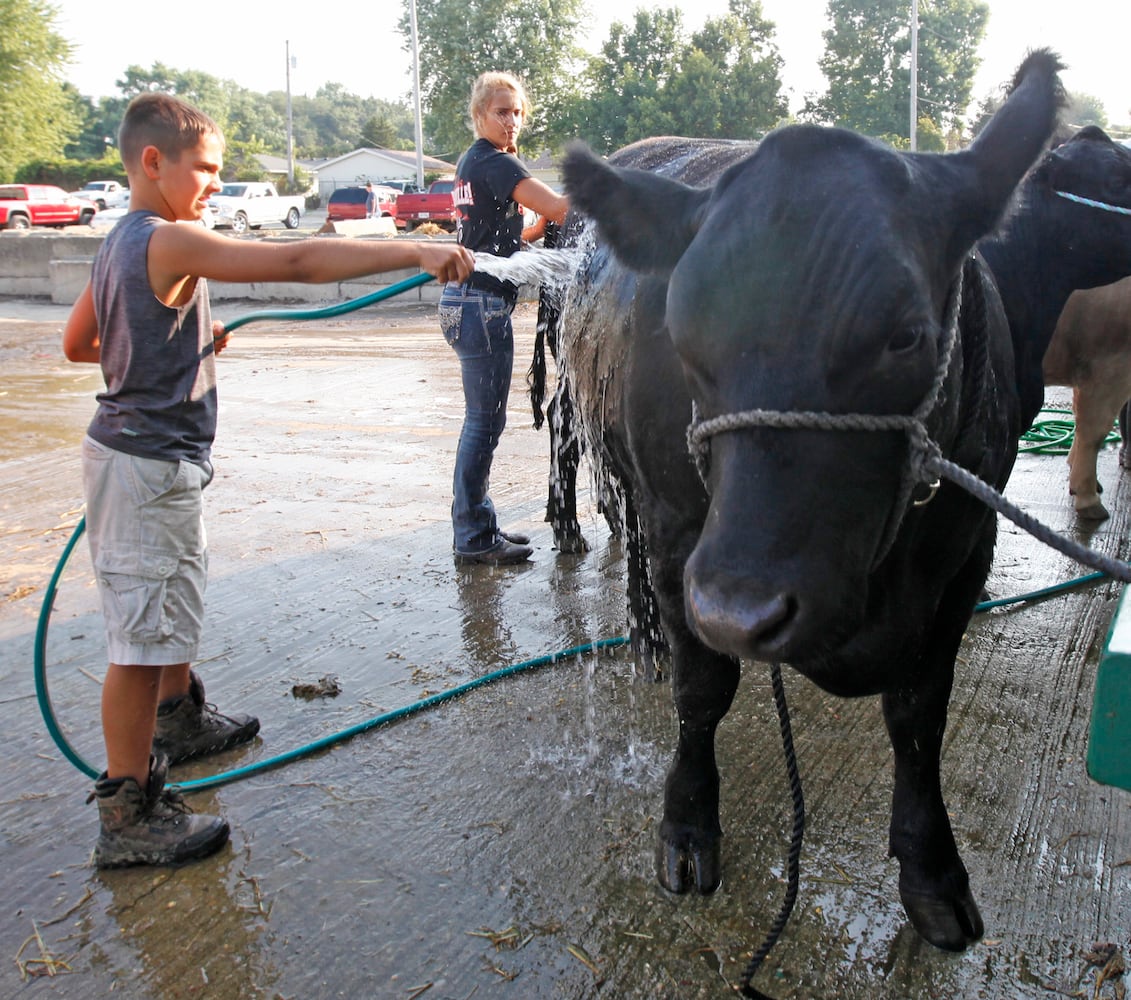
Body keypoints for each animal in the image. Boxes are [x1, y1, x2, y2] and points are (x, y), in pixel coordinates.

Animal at [551, 52, 1090, 954]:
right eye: (682, 334)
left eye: (905, 336)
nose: (740, 610)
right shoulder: (678, 535)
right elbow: (702, 690)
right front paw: (687, 828)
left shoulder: (966, 548)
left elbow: (918, 715)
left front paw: (932, 874)